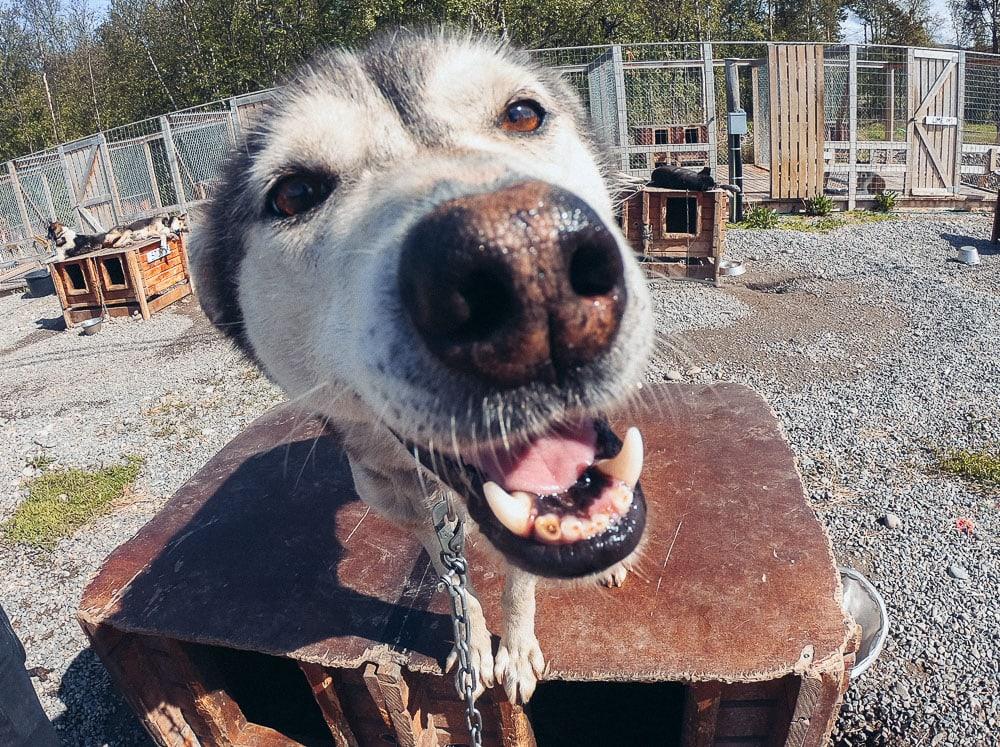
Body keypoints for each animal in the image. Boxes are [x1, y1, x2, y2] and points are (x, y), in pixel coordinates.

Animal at [188, 30, 656, 708]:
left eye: (523, 114)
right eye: (293, 193)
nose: (526, 261)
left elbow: (518, 578)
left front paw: (515, 646)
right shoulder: (403, 504)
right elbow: (449, 572)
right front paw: (473, 646)